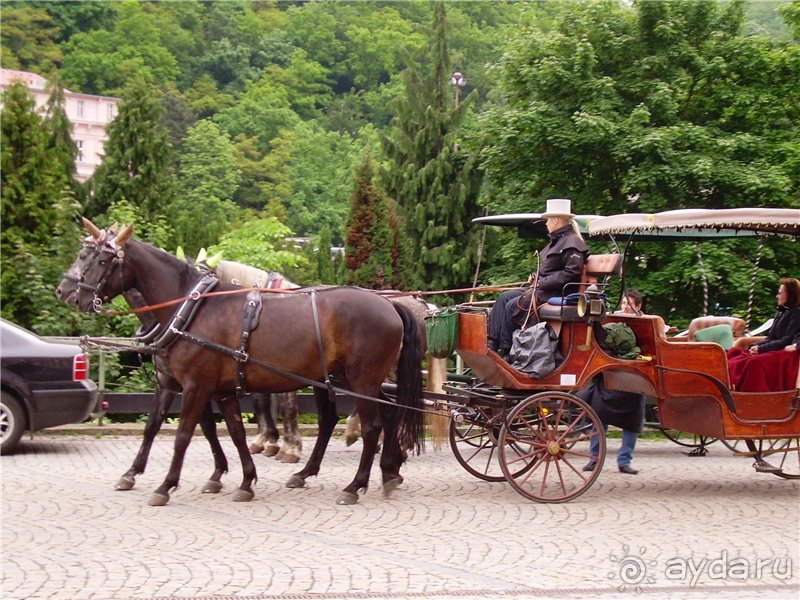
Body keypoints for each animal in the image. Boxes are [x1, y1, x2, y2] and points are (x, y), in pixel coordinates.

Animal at [70, 218, 424, 504]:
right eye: (82, 255)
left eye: (102, 259)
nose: (73, 294)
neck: (193, 309)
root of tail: (389, 304)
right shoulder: (213, 388)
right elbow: (230, 431)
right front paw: (244, 480)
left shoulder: (196, 386)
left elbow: (184, 435)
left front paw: (166, 486)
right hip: (347, 378)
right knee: (374, 418)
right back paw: (383, 471)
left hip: (362, 379)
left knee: (372, 427)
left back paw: (355, 485)